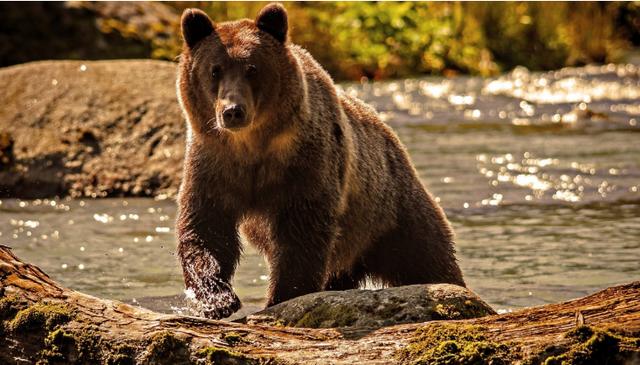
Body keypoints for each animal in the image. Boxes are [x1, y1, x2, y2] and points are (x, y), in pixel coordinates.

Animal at [175, 2, 464, 318]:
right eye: (214, 70)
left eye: (252, 68)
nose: (233, 111)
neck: (252, 146)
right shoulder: (213, 163)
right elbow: (206, 227)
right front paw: (217, 299)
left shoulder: (305, 163)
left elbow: (303, 233)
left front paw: (281, 296)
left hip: (391, 211)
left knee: (427, 256)